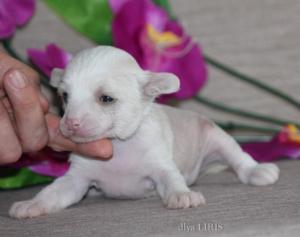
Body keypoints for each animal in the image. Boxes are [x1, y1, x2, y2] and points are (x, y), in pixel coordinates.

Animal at [8, 46, 278, 218]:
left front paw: (182, 195)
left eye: (106, 99)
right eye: (65, 96)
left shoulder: (160, 165)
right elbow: (53, 192)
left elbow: (172, 179)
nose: (71, 123)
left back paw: (258, 171)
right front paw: (32, 204)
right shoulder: (76, 179)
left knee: (238, 157)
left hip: (217, 137)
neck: (118, 146)